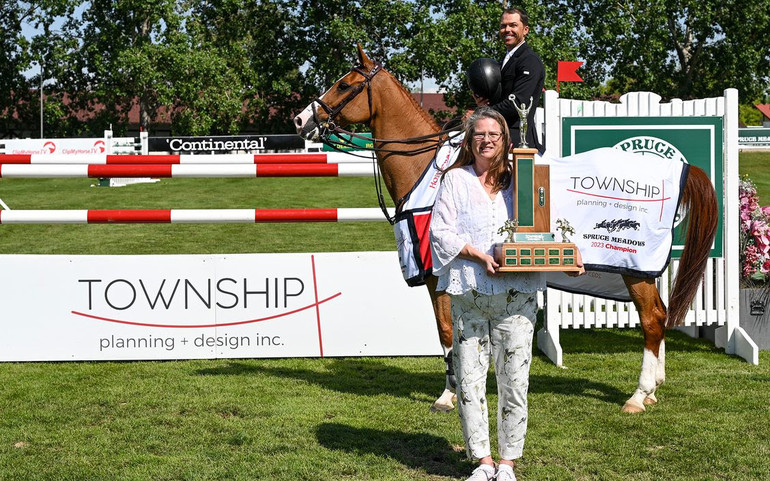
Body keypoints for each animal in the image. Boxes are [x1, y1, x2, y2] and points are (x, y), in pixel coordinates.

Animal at [292, 45, 716, 412]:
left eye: (344, 84)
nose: (301, 120)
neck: (429, 169)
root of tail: (679, 168)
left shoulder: (437, 274)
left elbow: (446, 332)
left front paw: (449, 394)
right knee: (658, 316)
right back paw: (654, 387)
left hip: (634, 268)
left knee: (653, 319)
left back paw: (638, 396)